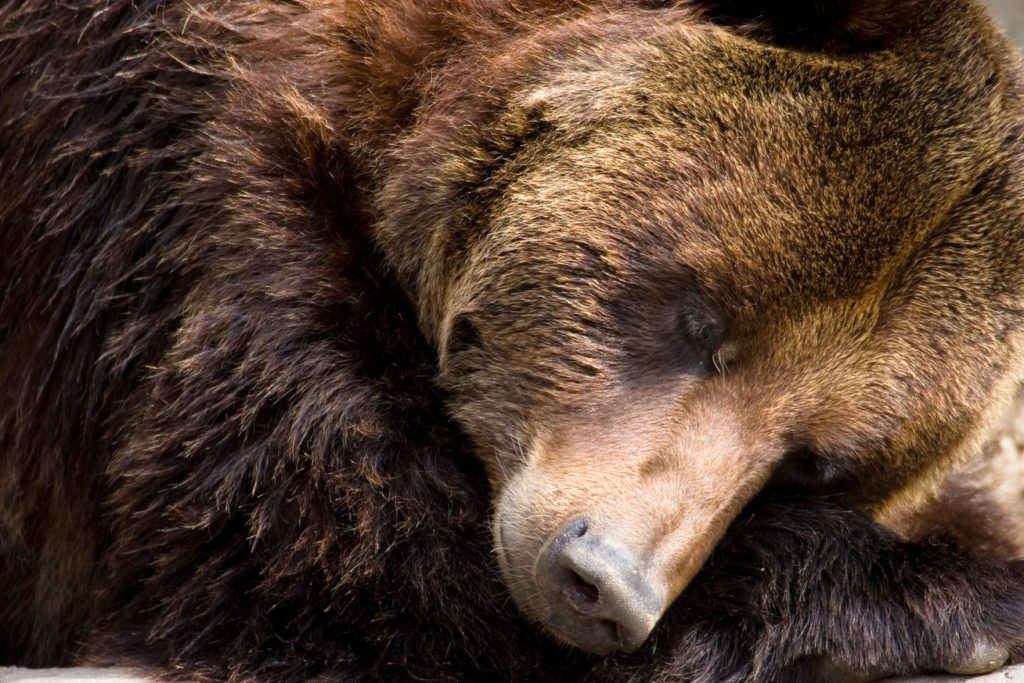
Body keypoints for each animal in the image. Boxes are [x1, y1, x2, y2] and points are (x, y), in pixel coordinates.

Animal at [2, 0, 1024, 679]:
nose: (606, 582)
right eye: (704, 320)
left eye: (815, 459)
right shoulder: (200, 189)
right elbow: (337, 555)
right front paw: (955, 593)